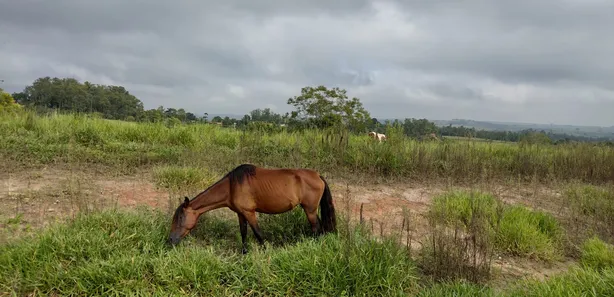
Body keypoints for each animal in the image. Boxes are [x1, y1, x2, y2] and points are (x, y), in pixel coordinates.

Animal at [170, 164, 336, 252]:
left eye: (180, 217)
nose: (170, 239)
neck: (231, 186)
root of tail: (318, 176)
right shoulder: (240, 214)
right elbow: (243, 233)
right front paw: (244, 253)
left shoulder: (249, 213)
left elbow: (258, 233)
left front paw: (265, 252)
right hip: (311, 210)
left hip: (310, 210)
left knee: (315, 228)